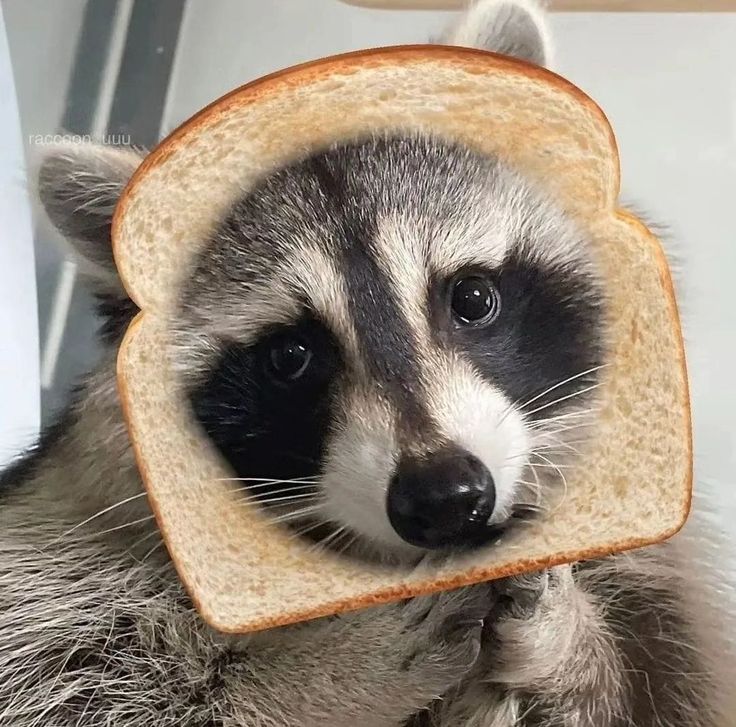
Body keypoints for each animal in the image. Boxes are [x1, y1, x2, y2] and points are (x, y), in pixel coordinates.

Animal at [0, 2, 725, 725]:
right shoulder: (57, 552)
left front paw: (567, 637)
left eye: (473, 298)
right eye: (290, 356)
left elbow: (650, 688)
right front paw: (318, 672)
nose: (445, 497)